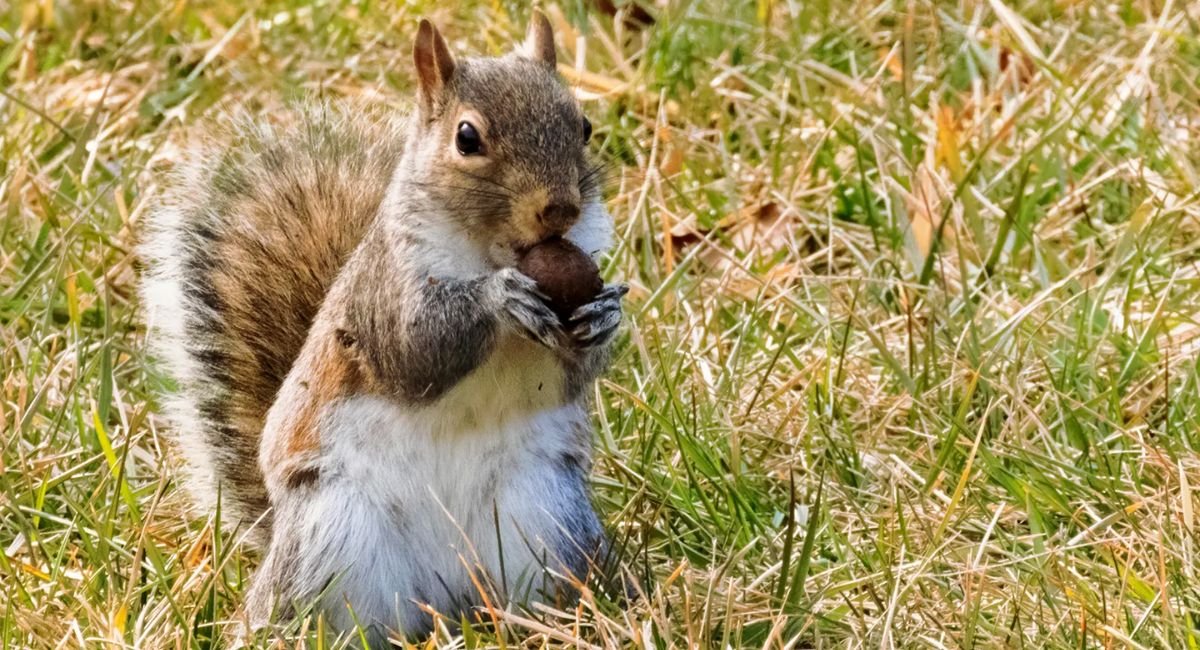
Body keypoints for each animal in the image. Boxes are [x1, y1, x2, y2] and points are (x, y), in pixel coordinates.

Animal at [140, 13, 626, 638]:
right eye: (467, 138)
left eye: (583, 126)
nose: (561, 209)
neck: (494, 250)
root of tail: (448, 597)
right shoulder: (384, 291)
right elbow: (414, 349)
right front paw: (499, 299)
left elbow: (575, 370)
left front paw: (604, 312)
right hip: (332, 540)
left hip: (544, 523)